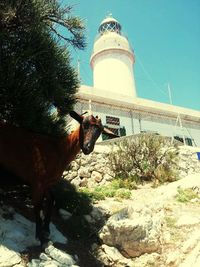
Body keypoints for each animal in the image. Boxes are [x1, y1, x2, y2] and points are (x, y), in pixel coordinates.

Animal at [0, 111, 116, 247]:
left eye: (100, 131)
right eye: (84, 124)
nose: (88, 148)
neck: (58, 150)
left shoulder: (47, 183)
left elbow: (51, 200)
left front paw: (46, 230)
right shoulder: (38, 181)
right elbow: (38, 206)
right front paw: (39, 237)